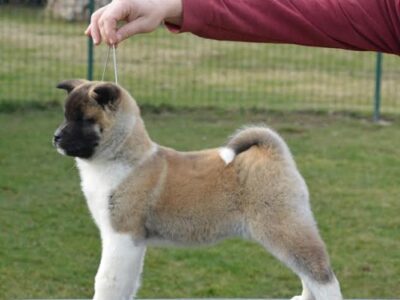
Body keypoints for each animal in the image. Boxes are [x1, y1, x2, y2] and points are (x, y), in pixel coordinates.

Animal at [52, 79, 340, 300]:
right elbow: (126, 283)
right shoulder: (127, 241)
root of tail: (273, 151)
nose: (56, 137)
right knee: (307, 271)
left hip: (282, 226)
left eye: (84, 120)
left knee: (321, 273)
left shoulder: (122, 236)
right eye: (65, 116)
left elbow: (107, 281)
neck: (122, 157)